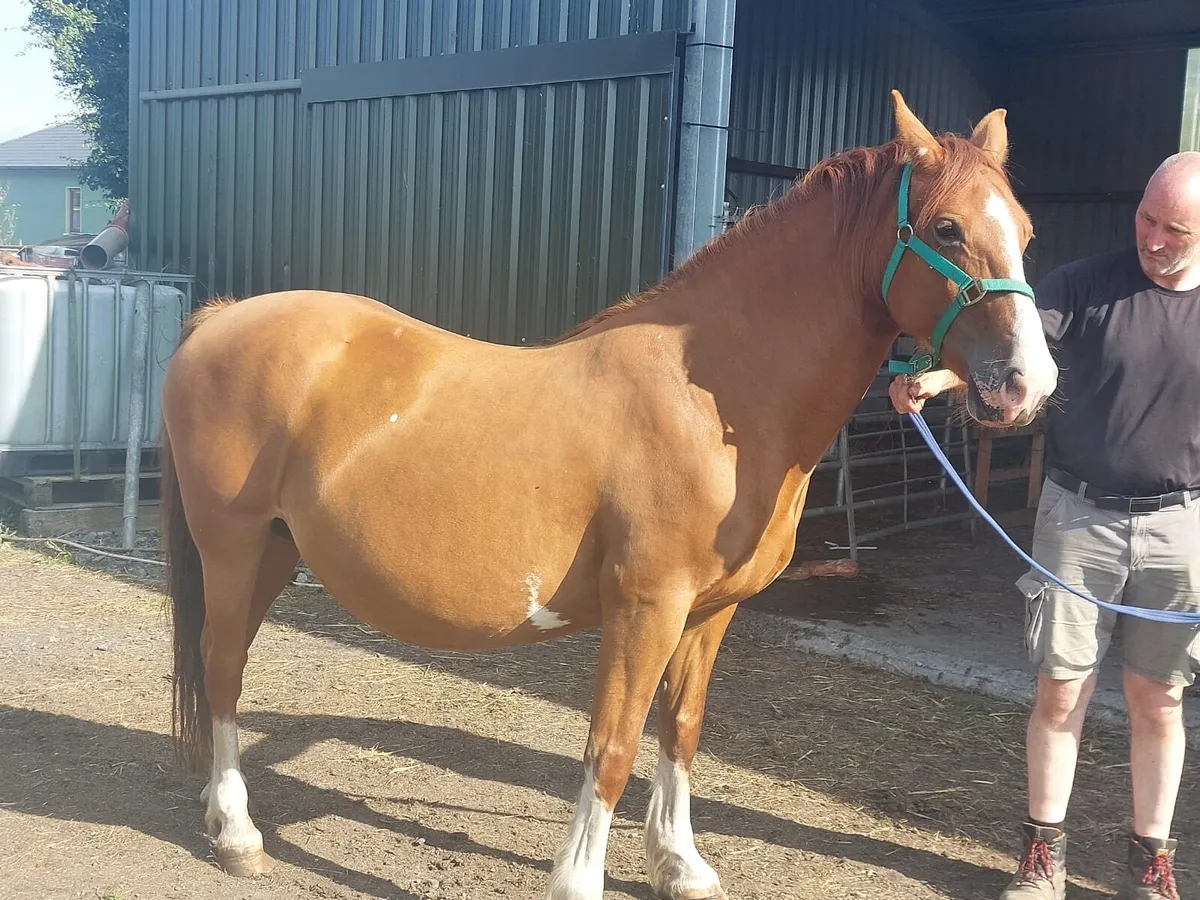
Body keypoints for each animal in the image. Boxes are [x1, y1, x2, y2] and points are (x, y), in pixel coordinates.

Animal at [160, 90, 1057, 900]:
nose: (1028, 384)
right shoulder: (646, 606)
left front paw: (680, 865)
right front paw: (580, 879)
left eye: (1024, 232)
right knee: (222, 669)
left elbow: (681, 732)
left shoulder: (708, 612)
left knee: (223, 663)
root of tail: (221, 319)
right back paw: (236, 832)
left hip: (276, 551)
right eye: (947, 229)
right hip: (232, 547)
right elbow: (613, 745)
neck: (715, 397)